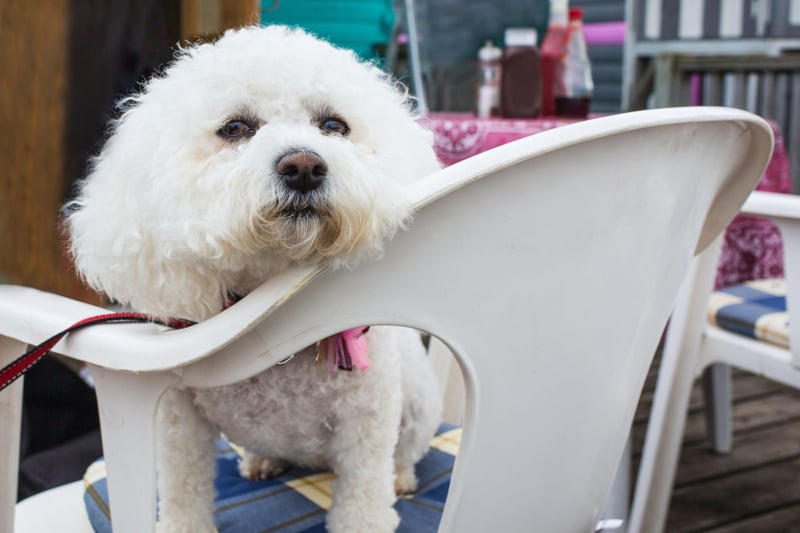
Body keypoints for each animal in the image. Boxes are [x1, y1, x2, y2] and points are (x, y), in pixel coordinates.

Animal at [67, 25, 444, 532]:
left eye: (334, 126)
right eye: (235, 128)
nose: (303, 166)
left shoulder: (367, 415)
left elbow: (364, 492)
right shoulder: (178, 419)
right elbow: (183, 486)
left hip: (418, 404)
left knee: (405, 452)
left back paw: (402, 477)